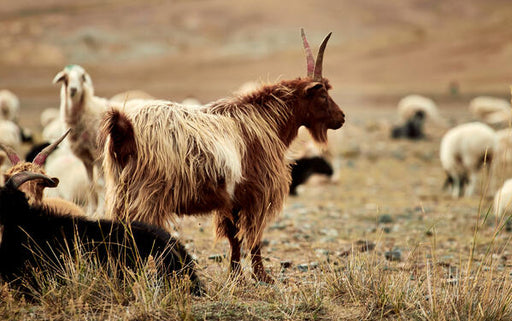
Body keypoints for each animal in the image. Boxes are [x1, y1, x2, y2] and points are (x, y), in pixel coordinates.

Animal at [98, 28, 346, 282]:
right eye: (322, 95)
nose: (341, 117)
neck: (263, 120)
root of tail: (124, 128)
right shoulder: (258, 194)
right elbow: (254, 237)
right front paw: (262, 276)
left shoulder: (233, 199)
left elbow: (233, 237)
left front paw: (236, 275)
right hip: (146, 196)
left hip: (122, 192)